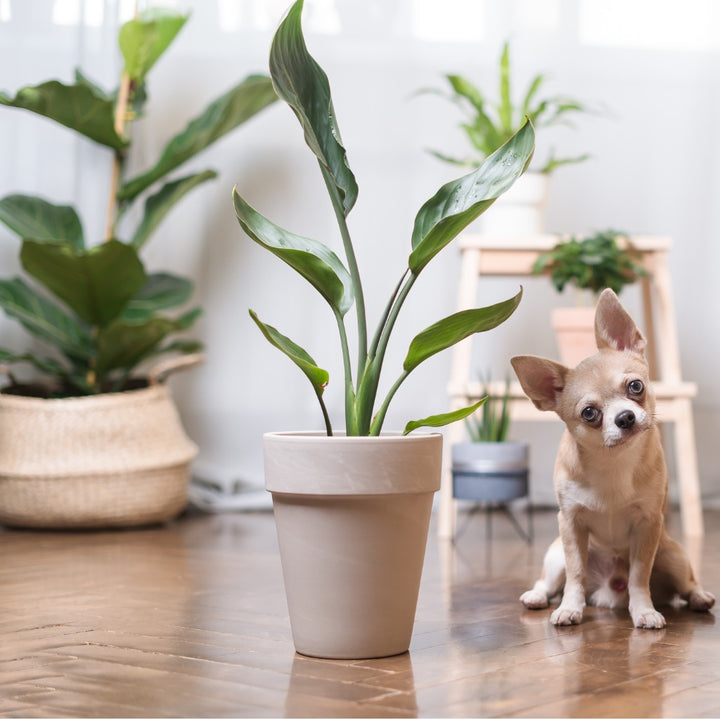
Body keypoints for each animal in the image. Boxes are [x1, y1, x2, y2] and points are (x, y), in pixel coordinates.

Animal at [512, 290, 716, 628]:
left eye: (636, 386)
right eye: (589, 413)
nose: (625, 417)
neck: (612, 461)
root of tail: (608, 593)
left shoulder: (648, 524)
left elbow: (639, 575)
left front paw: (644, 610)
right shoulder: (570, 524)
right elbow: (576, 574)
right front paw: (569, 608)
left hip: (673, 555)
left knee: (686, 584)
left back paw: (700, 597)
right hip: (555, 555)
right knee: (550, 581)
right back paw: (538, 596)